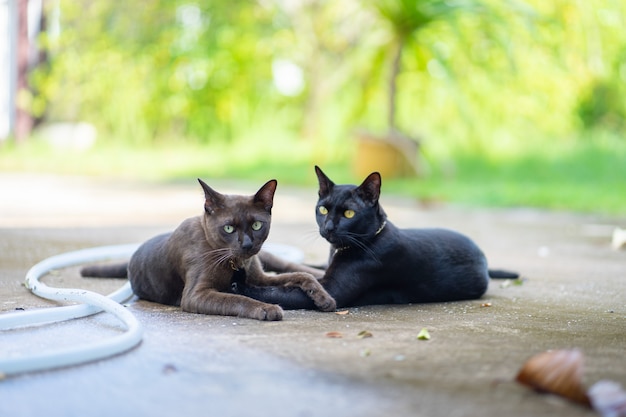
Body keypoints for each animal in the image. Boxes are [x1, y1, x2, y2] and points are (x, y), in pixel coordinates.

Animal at [84, 177, 336, 320]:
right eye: (228, 228)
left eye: (256, 225)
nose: (246, 244)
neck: (235, 264)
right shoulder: (196, 294)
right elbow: (237, 299)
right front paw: (267, 308)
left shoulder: (259, 278)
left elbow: (300, 275)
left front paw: (325, 298)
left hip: (266, 257)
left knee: (296, 266)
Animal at [232, 164, 516, 308]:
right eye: (322, 209)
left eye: (348, 213)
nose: (329, 227)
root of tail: (484, 258)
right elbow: (297, 276)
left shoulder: (332, 290)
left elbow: (278, 292)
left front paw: (242, 286)